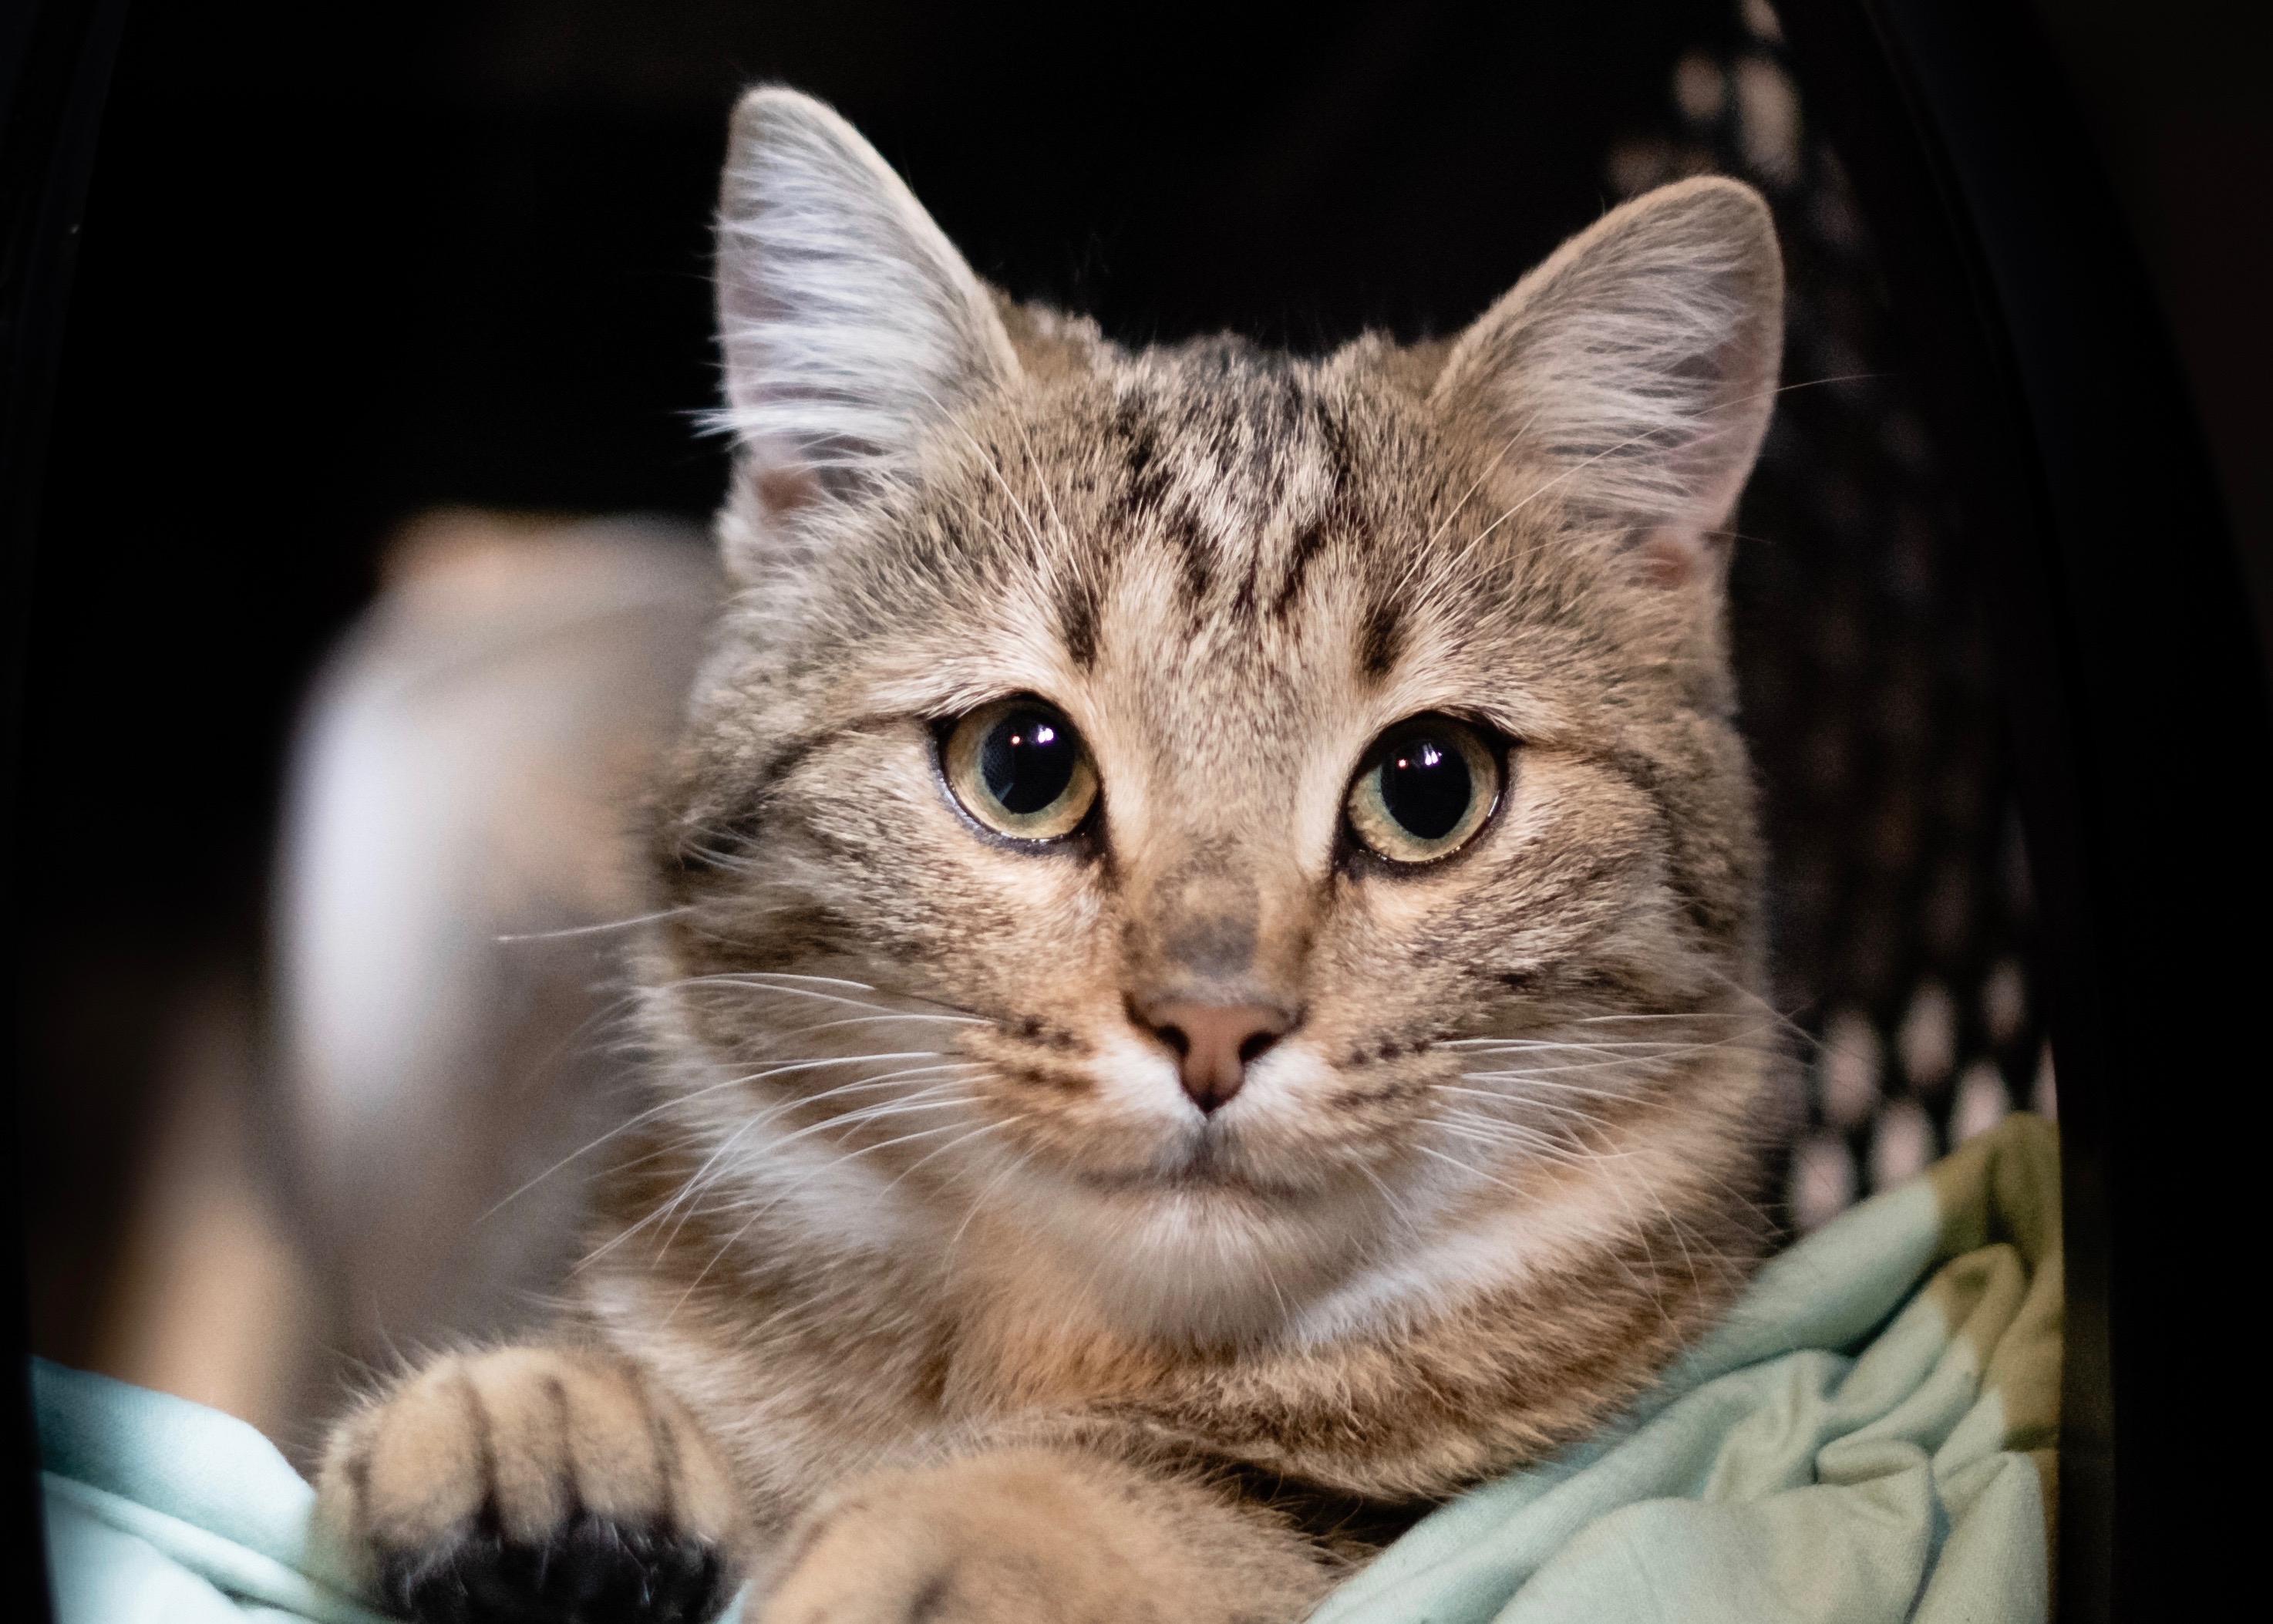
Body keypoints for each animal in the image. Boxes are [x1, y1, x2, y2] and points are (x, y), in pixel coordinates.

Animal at [311, 85, 1791, 1619]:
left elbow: (1203, 1496)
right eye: (1021, 764)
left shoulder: (1422, 1513)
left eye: (1428, 787)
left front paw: (972, 1526)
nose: (1214, 1024)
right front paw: (547, 1411)